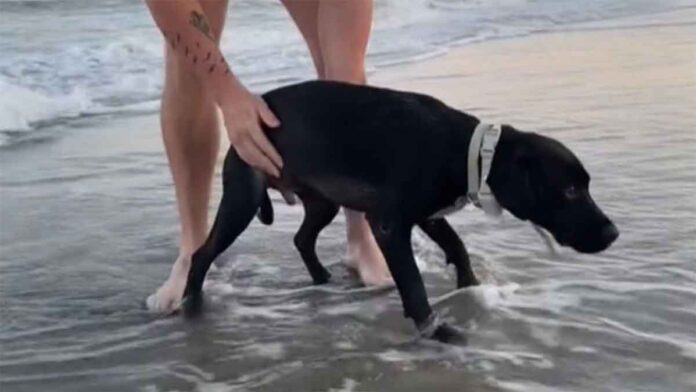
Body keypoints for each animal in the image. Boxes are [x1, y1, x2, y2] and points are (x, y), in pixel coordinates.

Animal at [181, 80, 620, 344]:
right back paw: (191, 305)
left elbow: (457, 246)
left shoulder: (429, 215)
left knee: (302, 238)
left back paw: (323, 280)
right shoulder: (391, 225)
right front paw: (435, 330)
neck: (467, 149)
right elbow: (413, 284)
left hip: (322, 202)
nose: (613, 233)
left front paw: (470, 285)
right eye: (570, 190)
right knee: (202, 254)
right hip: (243, 199)